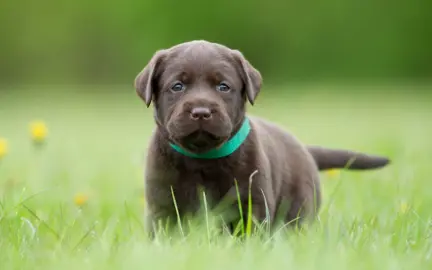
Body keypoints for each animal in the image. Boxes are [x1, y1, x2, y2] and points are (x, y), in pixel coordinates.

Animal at [133, 40, 390, 236]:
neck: (202, 159)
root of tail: (305, 149)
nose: (201, 111)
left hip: (299, 207)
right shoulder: (162, 204)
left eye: (223, 86)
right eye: (177, 86)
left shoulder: (252, 201)